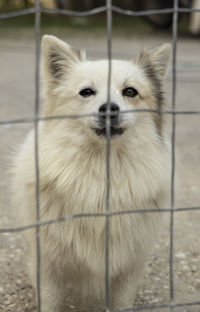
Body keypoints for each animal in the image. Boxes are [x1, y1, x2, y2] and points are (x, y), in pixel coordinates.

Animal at [12, 34, 170, 312]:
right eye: (86, 92)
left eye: (130, 92)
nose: (109, 109)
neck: (101, 174)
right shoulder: (47, 266)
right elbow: (50, 302)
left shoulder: (130, 266)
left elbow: (122, 302)